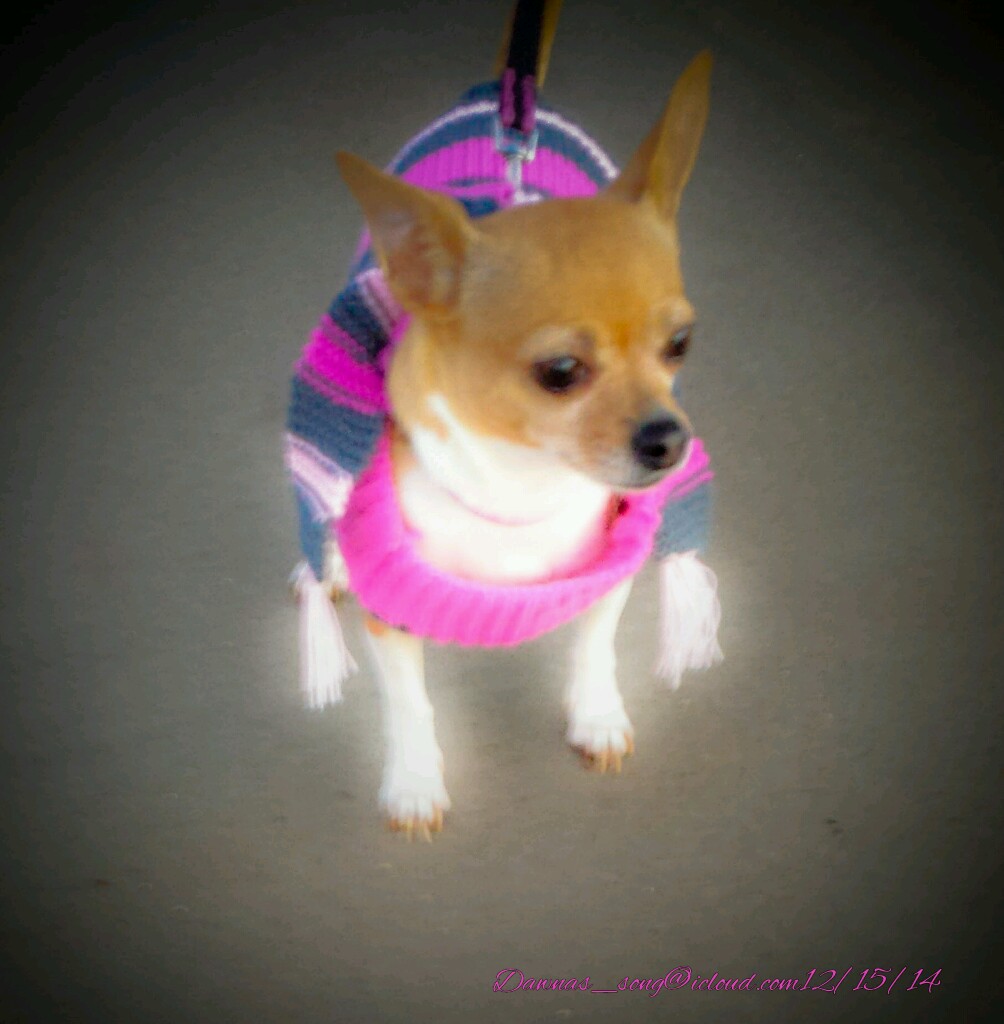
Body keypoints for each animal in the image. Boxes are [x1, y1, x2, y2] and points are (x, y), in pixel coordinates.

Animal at [286, 0, 722, 839]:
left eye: (680, 344)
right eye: (560, 373)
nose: (668, 439)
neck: (521, 486)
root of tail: (504, 93)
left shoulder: (606, 573)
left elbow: (594, 647)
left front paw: (596, 715)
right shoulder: (395, 616)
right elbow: (409, 705)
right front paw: (414, 781)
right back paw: (325, 564)